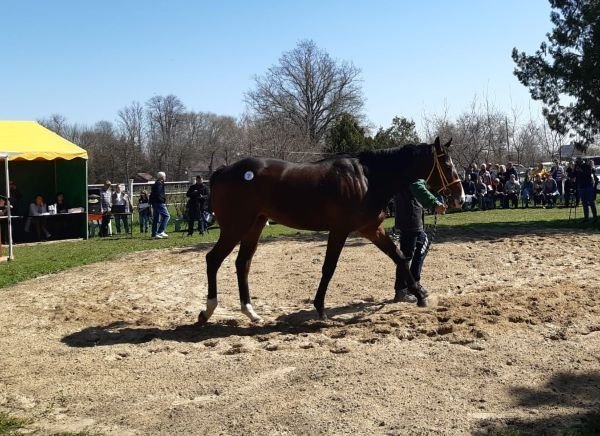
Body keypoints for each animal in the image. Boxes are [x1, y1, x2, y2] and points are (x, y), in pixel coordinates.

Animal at [197, 136, 464, 324]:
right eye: (447, 163)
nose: (460, 197)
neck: (367, 178)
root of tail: (223, 171)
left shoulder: (371, 229)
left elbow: (399, 257)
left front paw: (420, 295)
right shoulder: (340, 230)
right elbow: (329, 268)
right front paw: (320, 308)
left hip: (255, 226)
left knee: (242, 263)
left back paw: (250, 312)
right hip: (235, 227)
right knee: (213, 259)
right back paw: (207, 311)